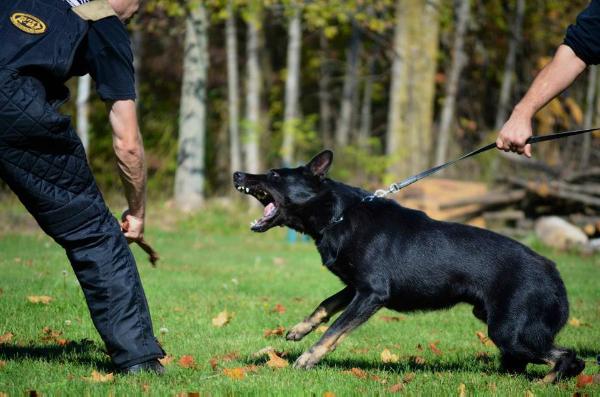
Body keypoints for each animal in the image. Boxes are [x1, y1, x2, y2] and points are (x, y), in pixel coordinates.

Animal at [232, 149, 584, 380]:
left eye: (274, 175)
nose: (237, 174)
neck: (338, 215)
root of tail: (555, 273)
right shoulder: (357, 288)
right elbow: (326, 304)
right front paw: (299, 329)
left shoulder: (371, 294)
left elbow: (335, 330)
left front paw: (308, 358)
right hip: (502, 329)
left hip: (508, 332)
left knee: (570, 358)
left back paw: (547, 382)